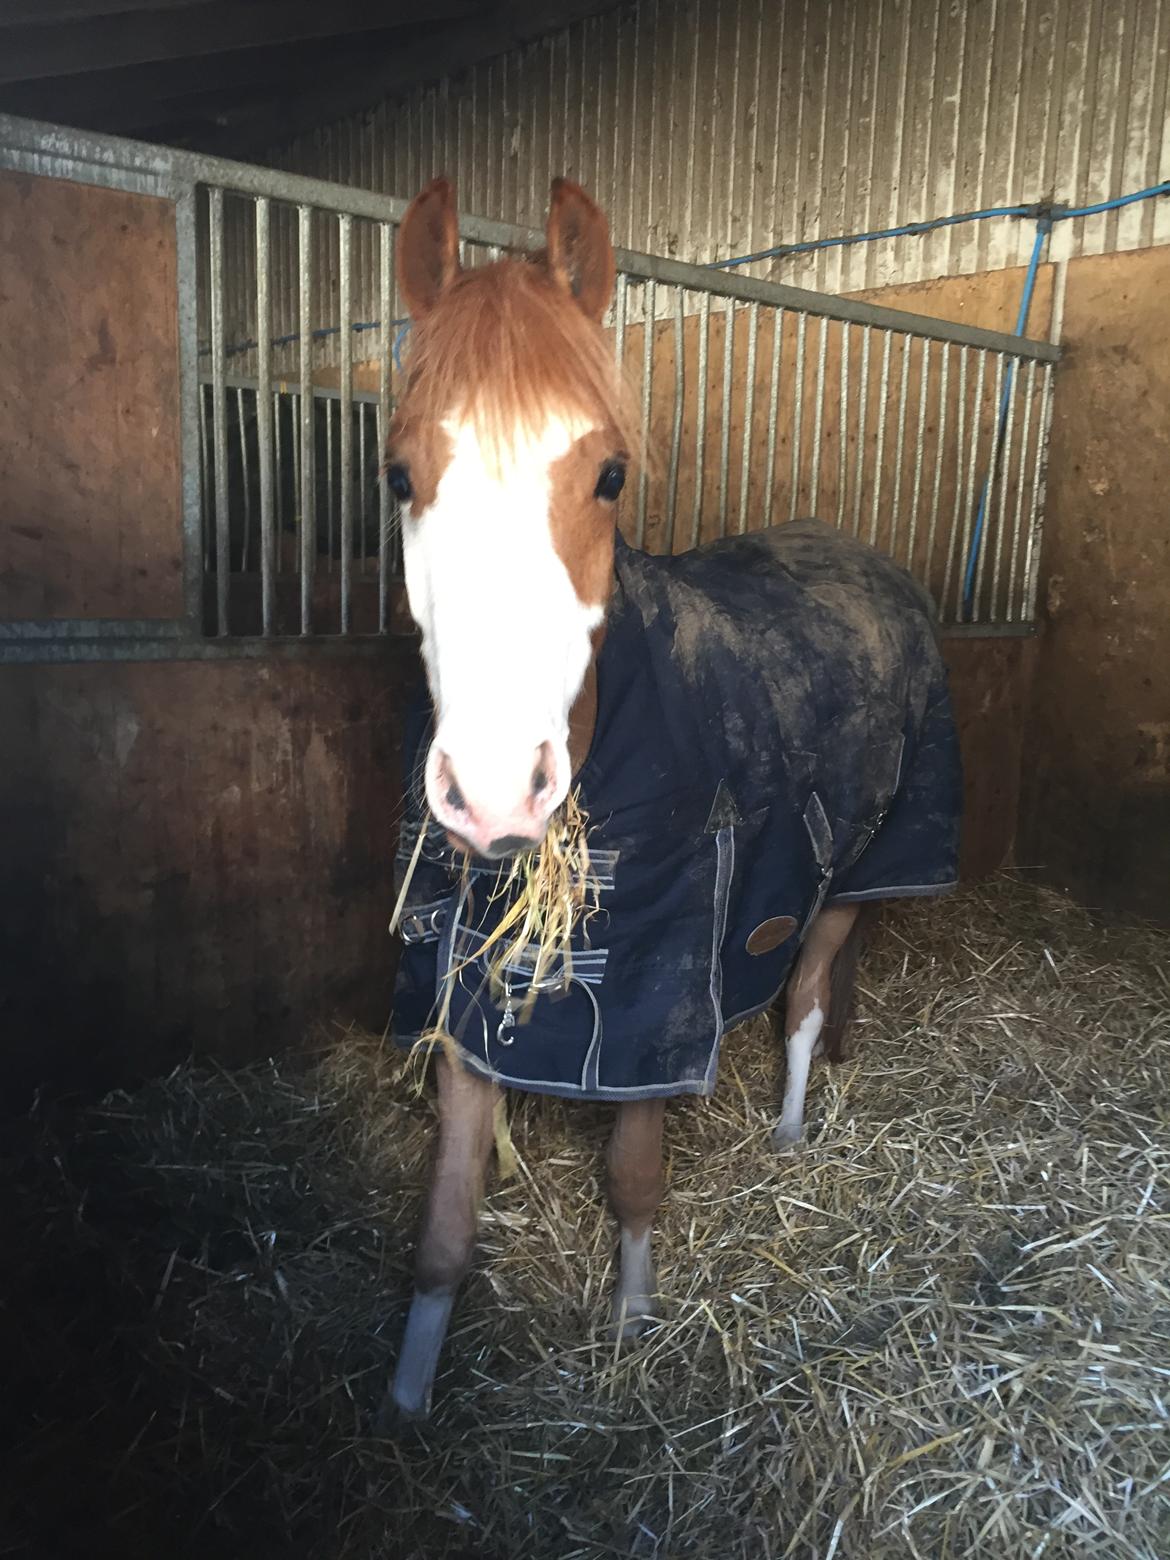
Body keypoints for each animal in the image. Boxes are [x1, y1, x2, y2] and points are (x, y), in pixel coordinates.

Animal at [381, 176, 963, 1423]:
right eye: (401, 474)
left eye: (609, 474)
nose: (495, 791)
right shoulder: (457, 995)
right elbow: (445, 1222)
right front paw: (406, 1395)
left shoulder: (657, 997)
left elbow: (635, 1174)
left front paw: (635, 1319)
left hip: (852, 876)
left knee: (805, 999)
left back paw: (791, 1127)